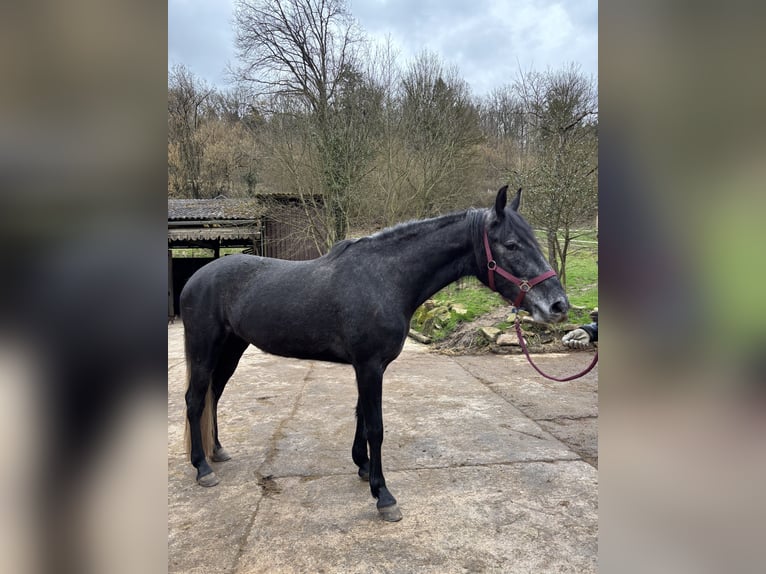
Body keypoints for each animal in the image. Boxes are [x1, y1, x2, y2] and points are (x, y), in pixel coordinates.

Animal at [180, 186, 569, 522]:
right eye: (512, 245)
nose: (558, 305)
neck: (386, 278)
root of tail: (196, 278)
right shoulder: (369, 366)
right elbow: (376, 427)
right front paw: (384, 496)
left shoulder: (368, 367)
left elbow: (361, 418)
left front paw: (363, 467)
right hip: (203, 351)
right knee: (195, 400)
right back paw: (202, 468)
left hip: (231, 350)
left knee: (215, 395)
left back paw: (217, 451)